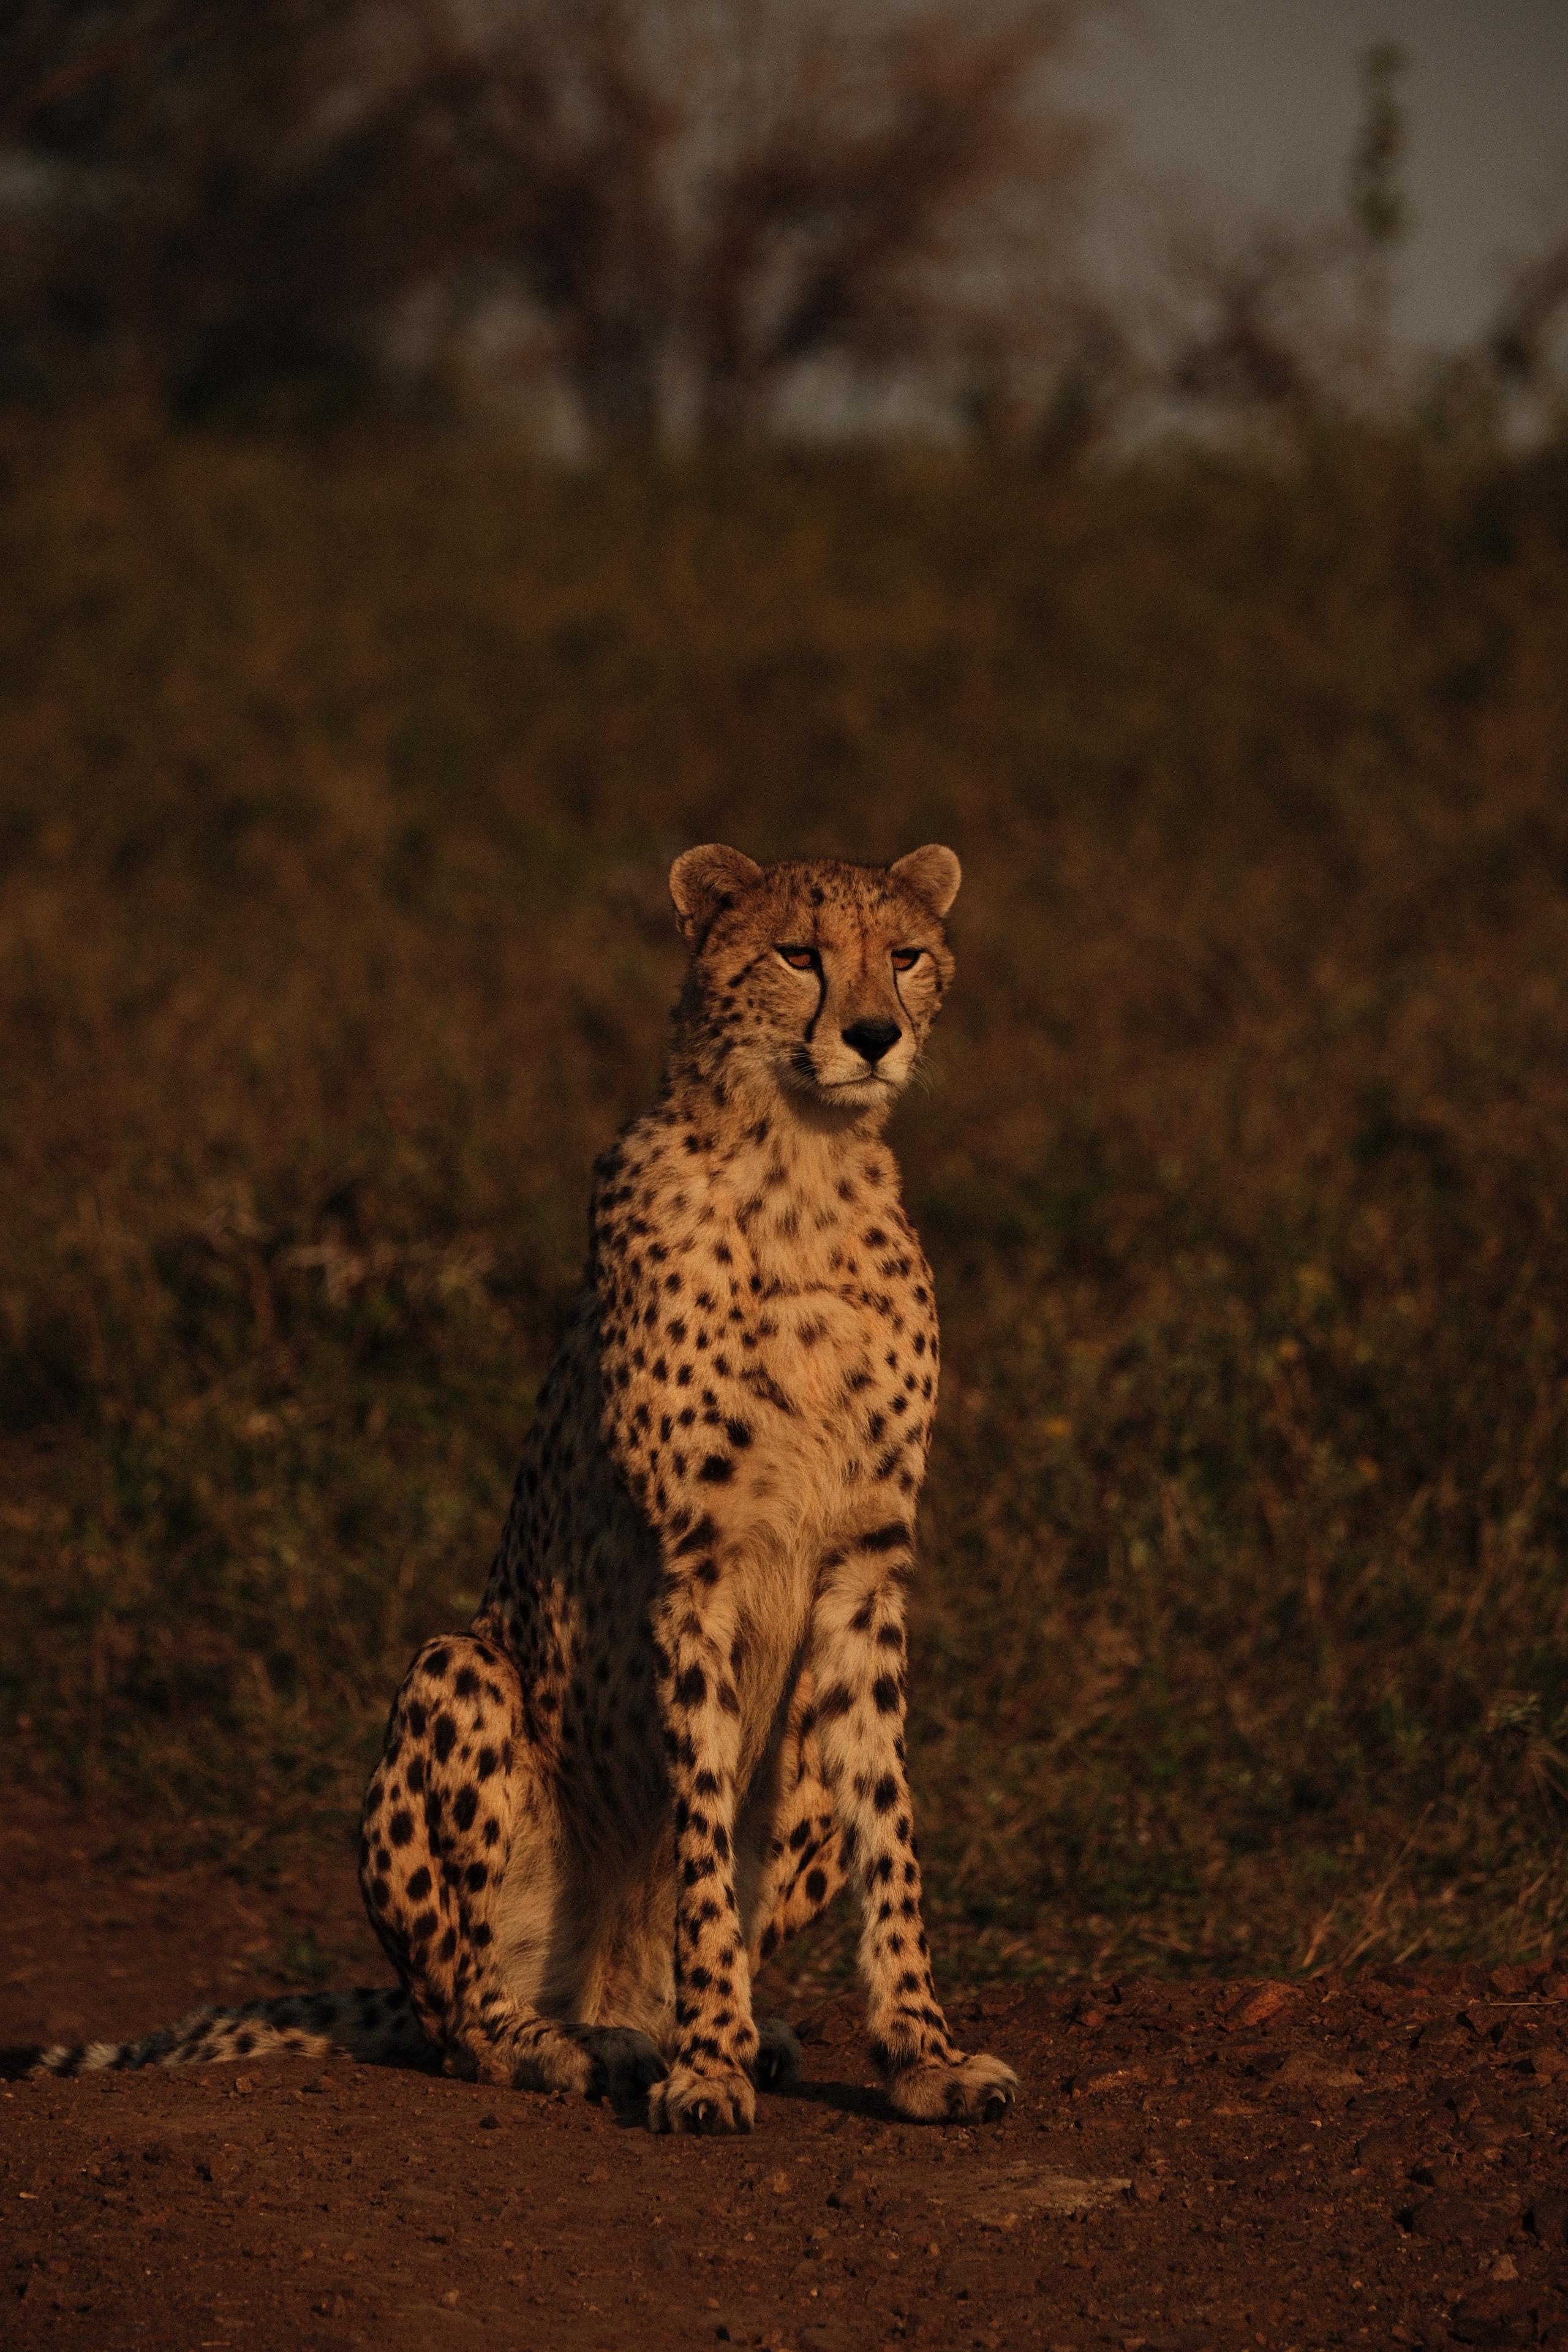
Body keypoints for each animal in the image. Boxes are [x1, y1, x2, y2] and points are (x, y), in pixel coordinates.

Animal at [5, 844, 1017, 2136]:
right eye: (799, 953)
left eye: (907, 954)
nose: (876, 1034)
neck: (801, 1166)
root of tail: (607, 1989)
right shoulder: (693, 1567)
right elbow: (698, 1841)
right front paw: (710, 2068)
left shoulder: (863, 1573)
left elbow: (891, 1831)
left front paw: (920, 2055)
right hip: (461, 1674)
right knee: (458, 2016)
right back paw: (575, 2045)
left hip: (788, 1769)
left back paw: (727, 2030)